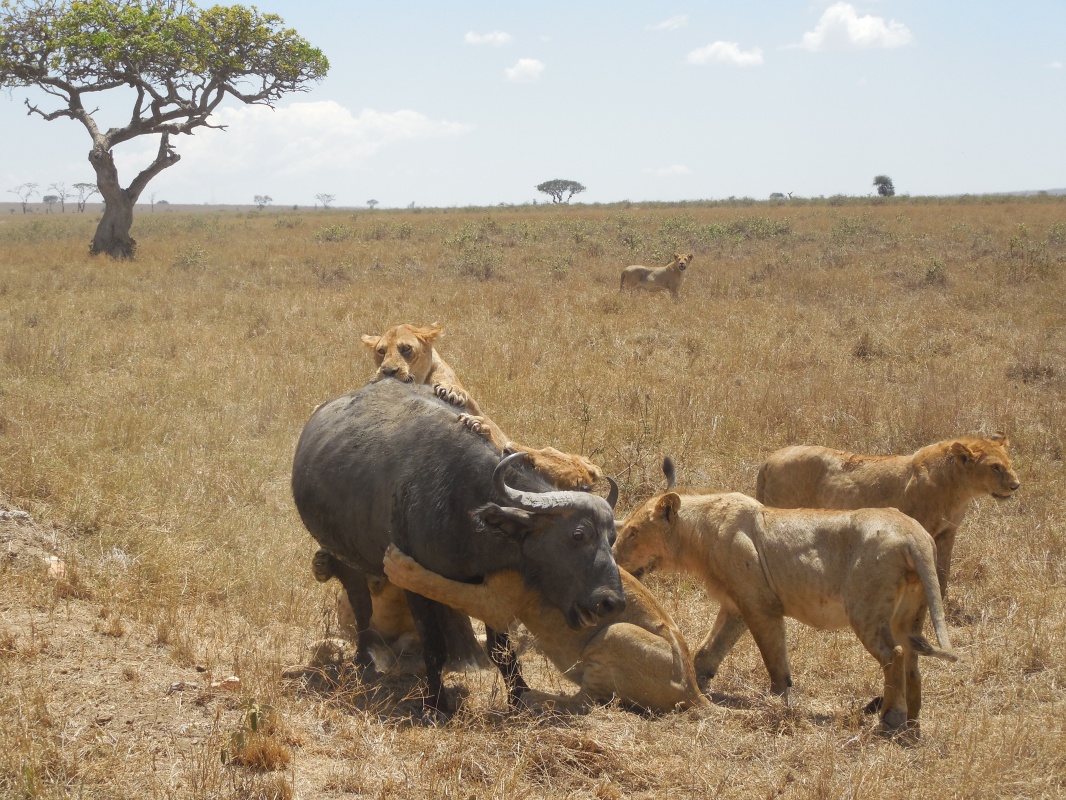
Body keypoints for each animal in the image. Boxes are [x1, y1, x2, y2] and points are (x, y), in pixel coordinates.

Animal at [291, 379, 625, 713]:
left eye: (611, 538)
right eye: (578, 535)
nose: (611, 602)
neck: (462, 499)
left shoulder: (484, 585)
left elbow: (501, 650)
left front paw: (518, 697)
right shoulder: (413, 583)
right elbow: (433, 645)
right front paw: (437, 703)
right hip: (340, 552)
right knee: (361, 603)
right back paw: (364, 660)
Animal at [382, 544, 708, 714]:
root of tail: (694, 691)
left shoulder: (495, 602)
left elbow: (440, 584)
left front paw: (400, 566)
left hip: (615, 633)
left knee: (587, 702)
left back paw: (533, 697)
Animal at [613, 458, 957, 735]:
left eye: (632, 532)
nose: (613, 557)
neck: (697, 532)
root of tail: (916, 535)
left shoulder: (761, 605)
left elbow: (775, 661)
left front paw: (777, 703)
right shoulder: (736, 605)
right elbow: (708, 651)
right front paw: (695, 683)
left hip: (866, 610)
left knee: (894, 654)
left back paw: (891, 719)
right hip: (908, 614)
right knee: (912, 660)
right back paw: (912, 722)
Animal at [755, 434, 1020, 600]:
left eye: (1009, 463)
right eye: (994, 467)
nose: (1016, 485)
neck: (959, 490)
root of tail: (768, 460)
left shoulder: (948, 532)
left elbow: (944, 570)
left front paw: (943, 602)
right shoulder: (921, 530)